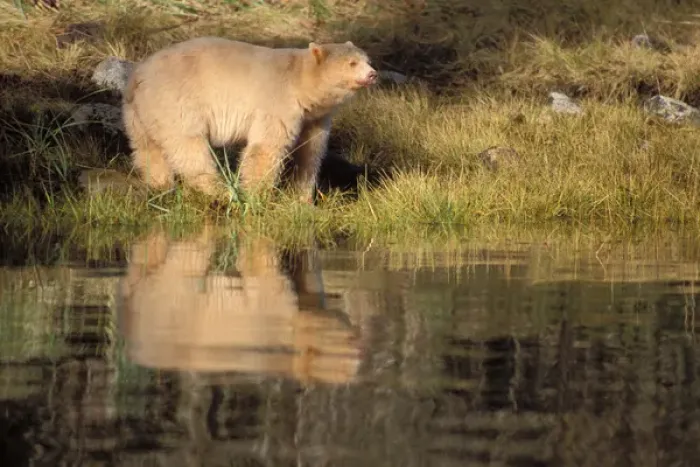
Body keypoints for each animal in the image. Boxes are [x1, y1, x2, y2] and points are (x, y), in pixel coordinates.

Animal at [121, 36, 377, 203]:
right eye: (352, 63)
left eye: (367, 60)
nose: (373, 74)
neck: (301, 83)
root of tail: (138, 76)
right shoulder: (278, 101)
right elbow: (266, 147)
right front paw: (257, 195)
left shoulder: (315, 117)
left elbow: (310, 151)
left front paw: (302, 197)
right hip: (176, 102)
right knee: (188, 145)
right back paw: (220, 191)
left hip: (139, 112)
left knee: (147, 149)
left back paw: (159, 185)